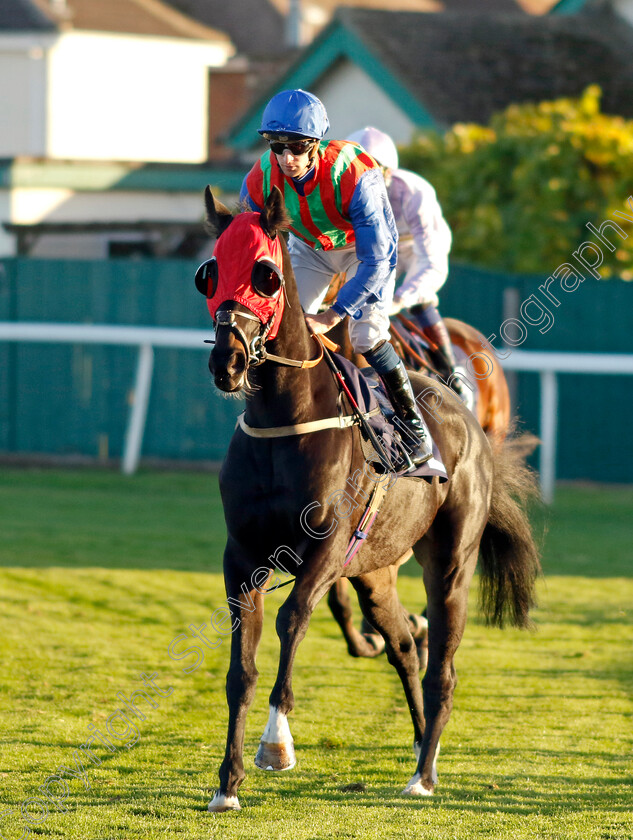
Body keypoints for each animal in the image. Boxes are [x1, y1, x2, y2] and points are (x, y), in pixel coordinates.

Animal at [199, 185, 540, 812]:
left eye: (265, 275)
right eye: (209, 273)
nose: (227, 361)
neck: (286, 419)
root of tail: (461, 415)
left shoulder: (326, 549)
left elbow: (291, 619)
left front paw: (275, 745)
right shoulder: (243, 556)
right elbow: (241, 669)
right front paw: (227, 783)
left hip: (450, 563)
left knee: (441, 668)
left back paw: (423, 774)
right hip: (376, 569)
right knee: (404, 644)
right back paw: (418, 739)